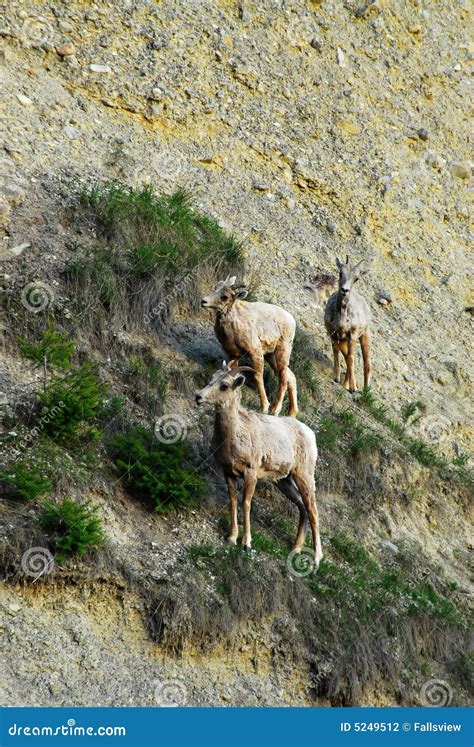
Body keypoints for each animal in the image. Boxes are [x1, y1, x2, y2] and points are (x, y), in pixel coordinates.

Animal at [193, 362, 322, 568]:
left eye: (224, 385)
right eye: (212, 378)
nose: (198, 397)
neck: (234, 434)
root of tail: (310, 434)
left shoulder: (250, 473)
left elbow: (246, 504)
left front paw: (246, 543)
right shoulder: (228, 473)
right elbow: (233, 502)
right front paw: (232, 538)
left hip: (304, 476)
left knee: (313, 511)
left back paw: (316, 560)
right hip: (283, 481)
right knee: (302, 507)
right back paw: (295, 548)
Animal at [202, 276, 298, 418]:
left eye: (225, 296)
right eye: (216, 287)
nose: (203, 301)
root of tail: (292, 320)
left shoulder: (255, 351)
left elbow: (258, 376)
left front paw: (264, 407)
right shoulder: (232, 354)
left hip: (282, 351)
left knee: (283, 378)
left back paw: (275, 410)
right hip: (270, 356)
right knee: (291, 377)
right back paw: (291, 413)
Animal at [324, 258, 372, 394]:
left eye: (356, 278)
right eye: (340, 273)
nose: (345, 290)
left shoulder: (353, 336)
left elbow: (351, 358)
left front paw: (352, 388)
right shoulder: (333, 334)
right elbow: (337, 352)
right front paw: (336, 378)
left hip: (365, 335)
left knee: (367, 363)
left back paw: (365, 391)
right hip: (344, 340)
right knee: (346, 356)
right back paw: (346, 384)